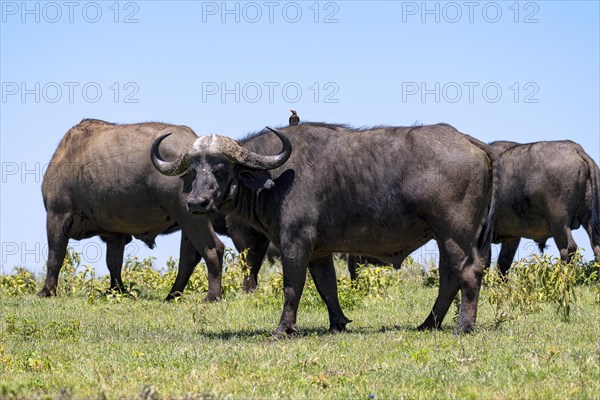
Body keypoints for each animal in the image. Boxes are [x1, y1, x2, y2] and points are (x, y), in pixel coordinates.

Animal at [40, 119, 225, 300]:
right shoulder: (114, 233)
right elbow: (114, 262)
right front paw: (117, 290)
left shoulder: (56, 216)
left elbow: (55, 257)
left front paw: (47, 291)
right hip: (187, 222)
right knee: (189, 257)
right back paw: (172, 295)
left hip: (192, 217)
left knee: (213, 249)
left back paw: (212, 296)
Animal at [151, 122, 496, 334]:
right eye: (192, 171)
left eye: (222, 169)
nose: (197, 202)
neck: (276, 178)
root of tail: (471, 142)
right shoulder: (320, 251)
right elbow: (327, 286)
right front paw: (338, 323)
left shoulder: (294, 244)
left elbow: (293, 287)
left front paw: (283, 329)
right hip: (444, 235)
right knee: (449, 276)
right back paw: (428, 324)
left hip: (454, 232)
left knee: (467, 272)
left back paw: (463, 327)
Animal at [490, 139, 596, 274]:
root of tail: (575, 149)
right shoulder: (512, 238)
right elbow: (503, 265)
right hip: (588, 217)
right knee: (596, 246)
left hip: (558, 221)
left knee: (568, 248)